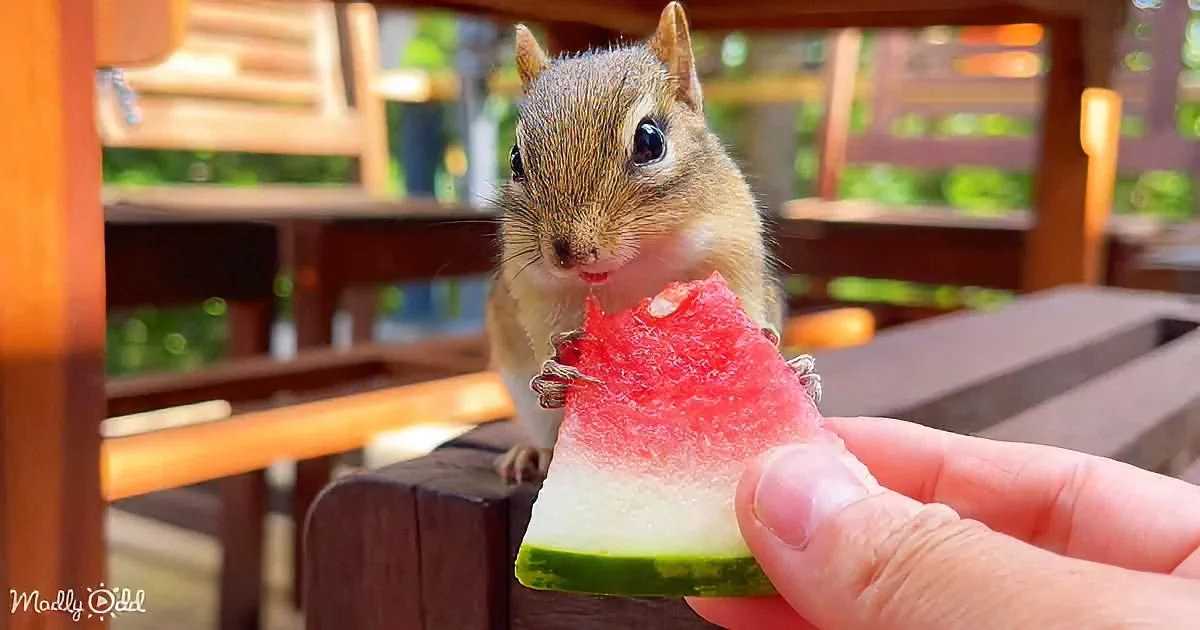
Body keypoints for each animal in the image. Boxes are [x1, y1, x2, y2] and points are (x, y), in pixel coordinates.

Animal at [485, 2, 821, 483]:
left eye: (650, 140)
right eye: (515, 160)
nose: (568, 253)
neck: (634, 270)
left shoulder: (734, 254)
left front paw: (793, 371)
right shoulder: (534, 290)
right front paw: (556, 375)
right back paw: (532, 452)